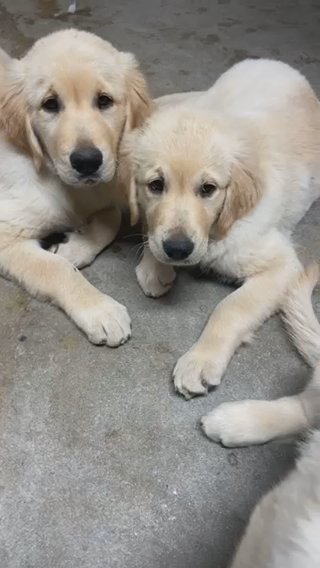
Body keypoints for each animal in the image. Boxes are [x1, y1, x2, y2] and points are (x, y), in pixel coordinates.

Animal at [0, 28, 151, 348]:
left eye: (104, 101)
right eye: (50, 104)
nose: (87, 162)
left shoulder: (105, 192)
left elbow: (110, 220)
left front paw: (72, 248)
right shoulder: (5, 231)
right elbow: (56, 269)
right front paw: (100, 310)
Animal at [129, 58, 320, 448]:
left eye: (208, 189)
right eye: (156, 185)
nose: (178, 249)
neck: (216, 230)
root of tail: (281, 65)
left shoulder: (281, 264)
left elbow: (230, 308)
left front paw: (200, 361)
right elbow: (152, 229)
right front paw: (155, 266)